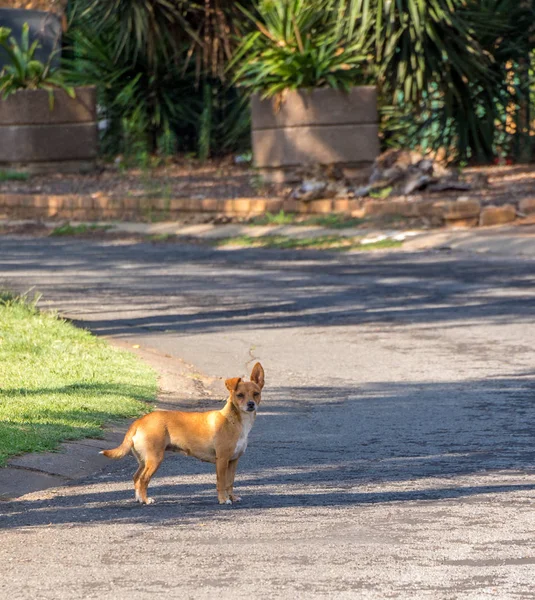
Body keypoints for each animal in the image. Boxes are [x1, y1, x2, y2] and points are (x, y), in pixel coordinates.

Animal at [100, 364, 266, 504]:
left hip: (144, 460)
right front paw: (223, 499)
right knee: (143, 480)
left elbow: (230, 483)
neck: (234, 421)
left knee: (136, 478)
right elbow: (221, 483)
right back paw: (146, 500)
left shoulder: (233, 461)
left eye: (256, 393)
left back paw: (139, 498)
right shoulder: (222, 460)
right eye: (240, 395)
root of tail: (140, 421)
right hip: (154, 459)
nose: (251, 404)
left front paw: (232, 497)